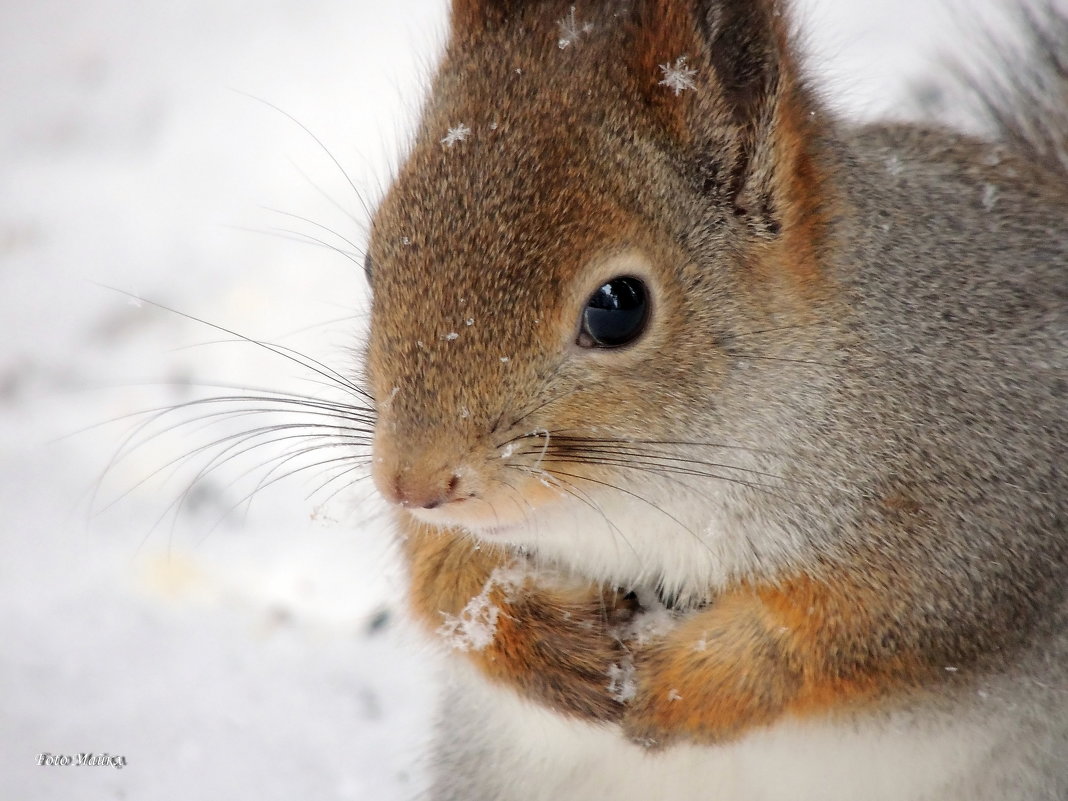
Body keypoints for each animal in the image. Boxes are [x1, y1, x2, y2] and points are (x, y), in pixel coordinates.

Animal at [360, 1, 1068, 801]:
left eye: (618, 306)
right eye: (373, 261)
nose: (411, 482)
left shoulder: (992, 486)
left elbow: (872, 627)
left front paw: (690, 683)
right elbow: (443, 576)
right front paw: (544, 638)